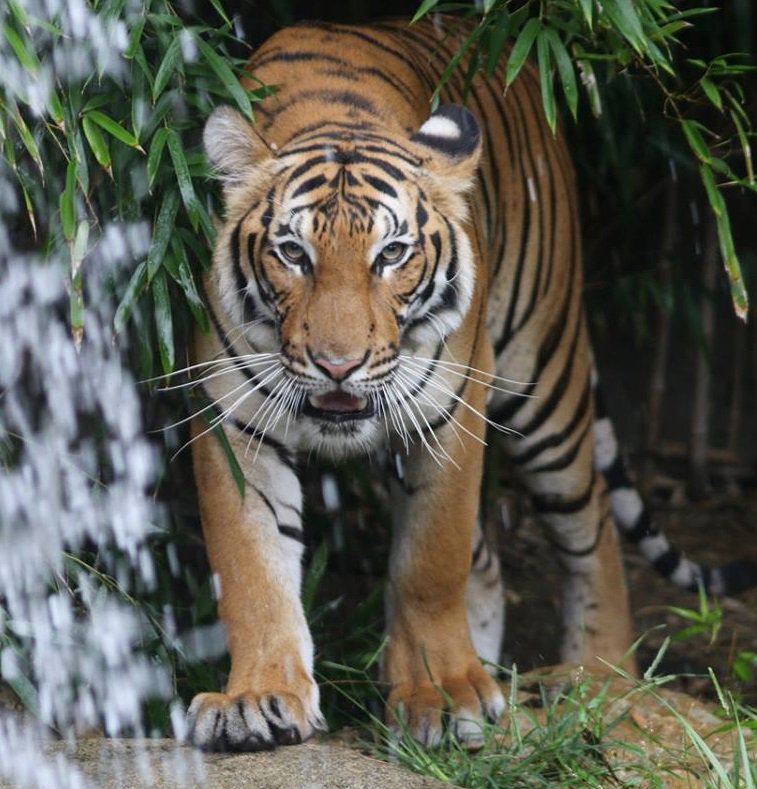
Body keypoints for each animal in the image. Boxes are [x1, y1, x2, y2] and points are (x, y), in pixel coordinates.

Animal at [185, 16, 757, 751]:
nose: (337, 364)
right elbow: (251, 567)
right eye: (292, 253)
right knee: (490, 558)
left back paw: (602, 676)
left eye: (391, 254)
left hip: (544, 381)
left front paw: (442, 695)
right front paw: (258, 697)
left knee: (593, 525)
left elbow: (433, 559)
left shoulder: (449, 409)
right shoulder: (235, 421)